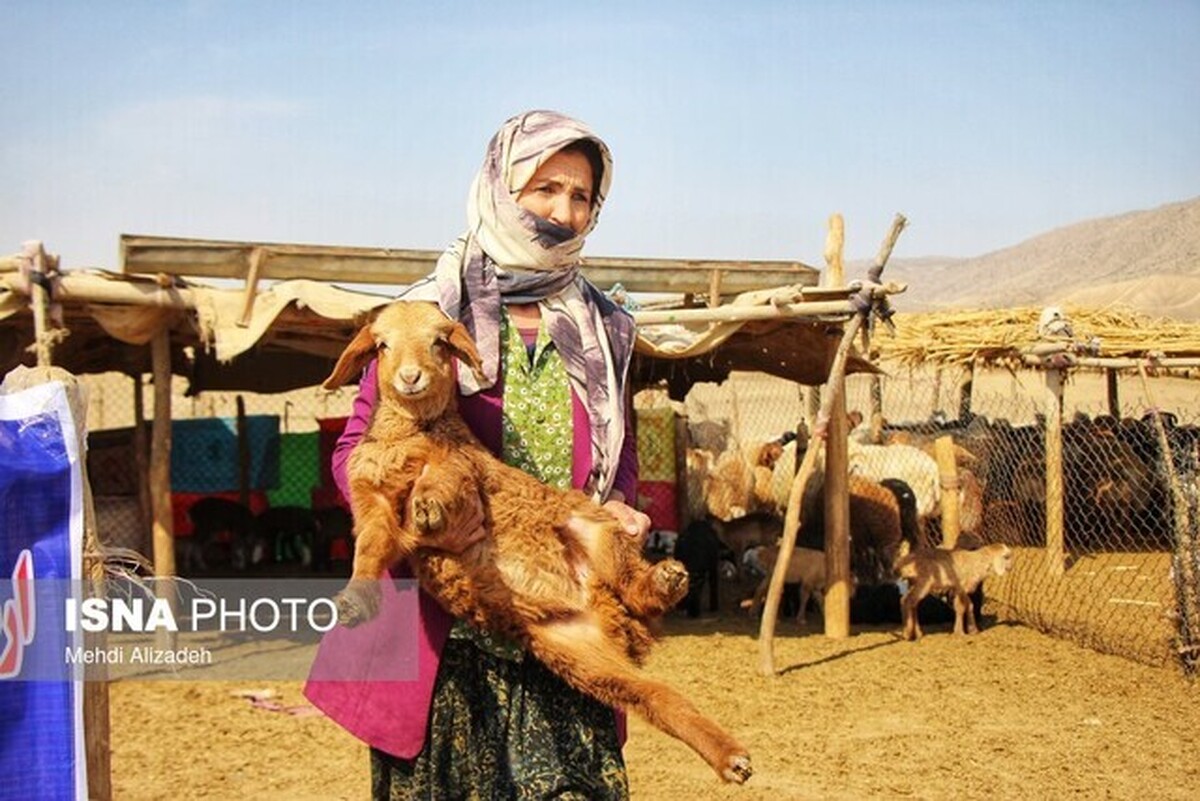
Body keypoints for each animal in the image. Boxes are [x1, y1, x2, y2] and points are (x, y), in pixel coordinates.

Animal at [319, 299, 748, 781]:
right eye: (382, 345)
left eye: (439, 342)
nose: (410, 377)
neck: (410, 434)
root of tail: (605, 605)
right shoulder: (371, 500)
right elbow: (369, 550)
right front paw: (354, 602)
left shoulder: (466, 465)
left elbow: (446, 475)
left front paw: (428, 505)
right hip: (581, 656)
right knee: (654, 695)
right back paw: (730, 757)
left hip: (594, 528)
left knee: (632, 580)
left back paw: (664, 582)